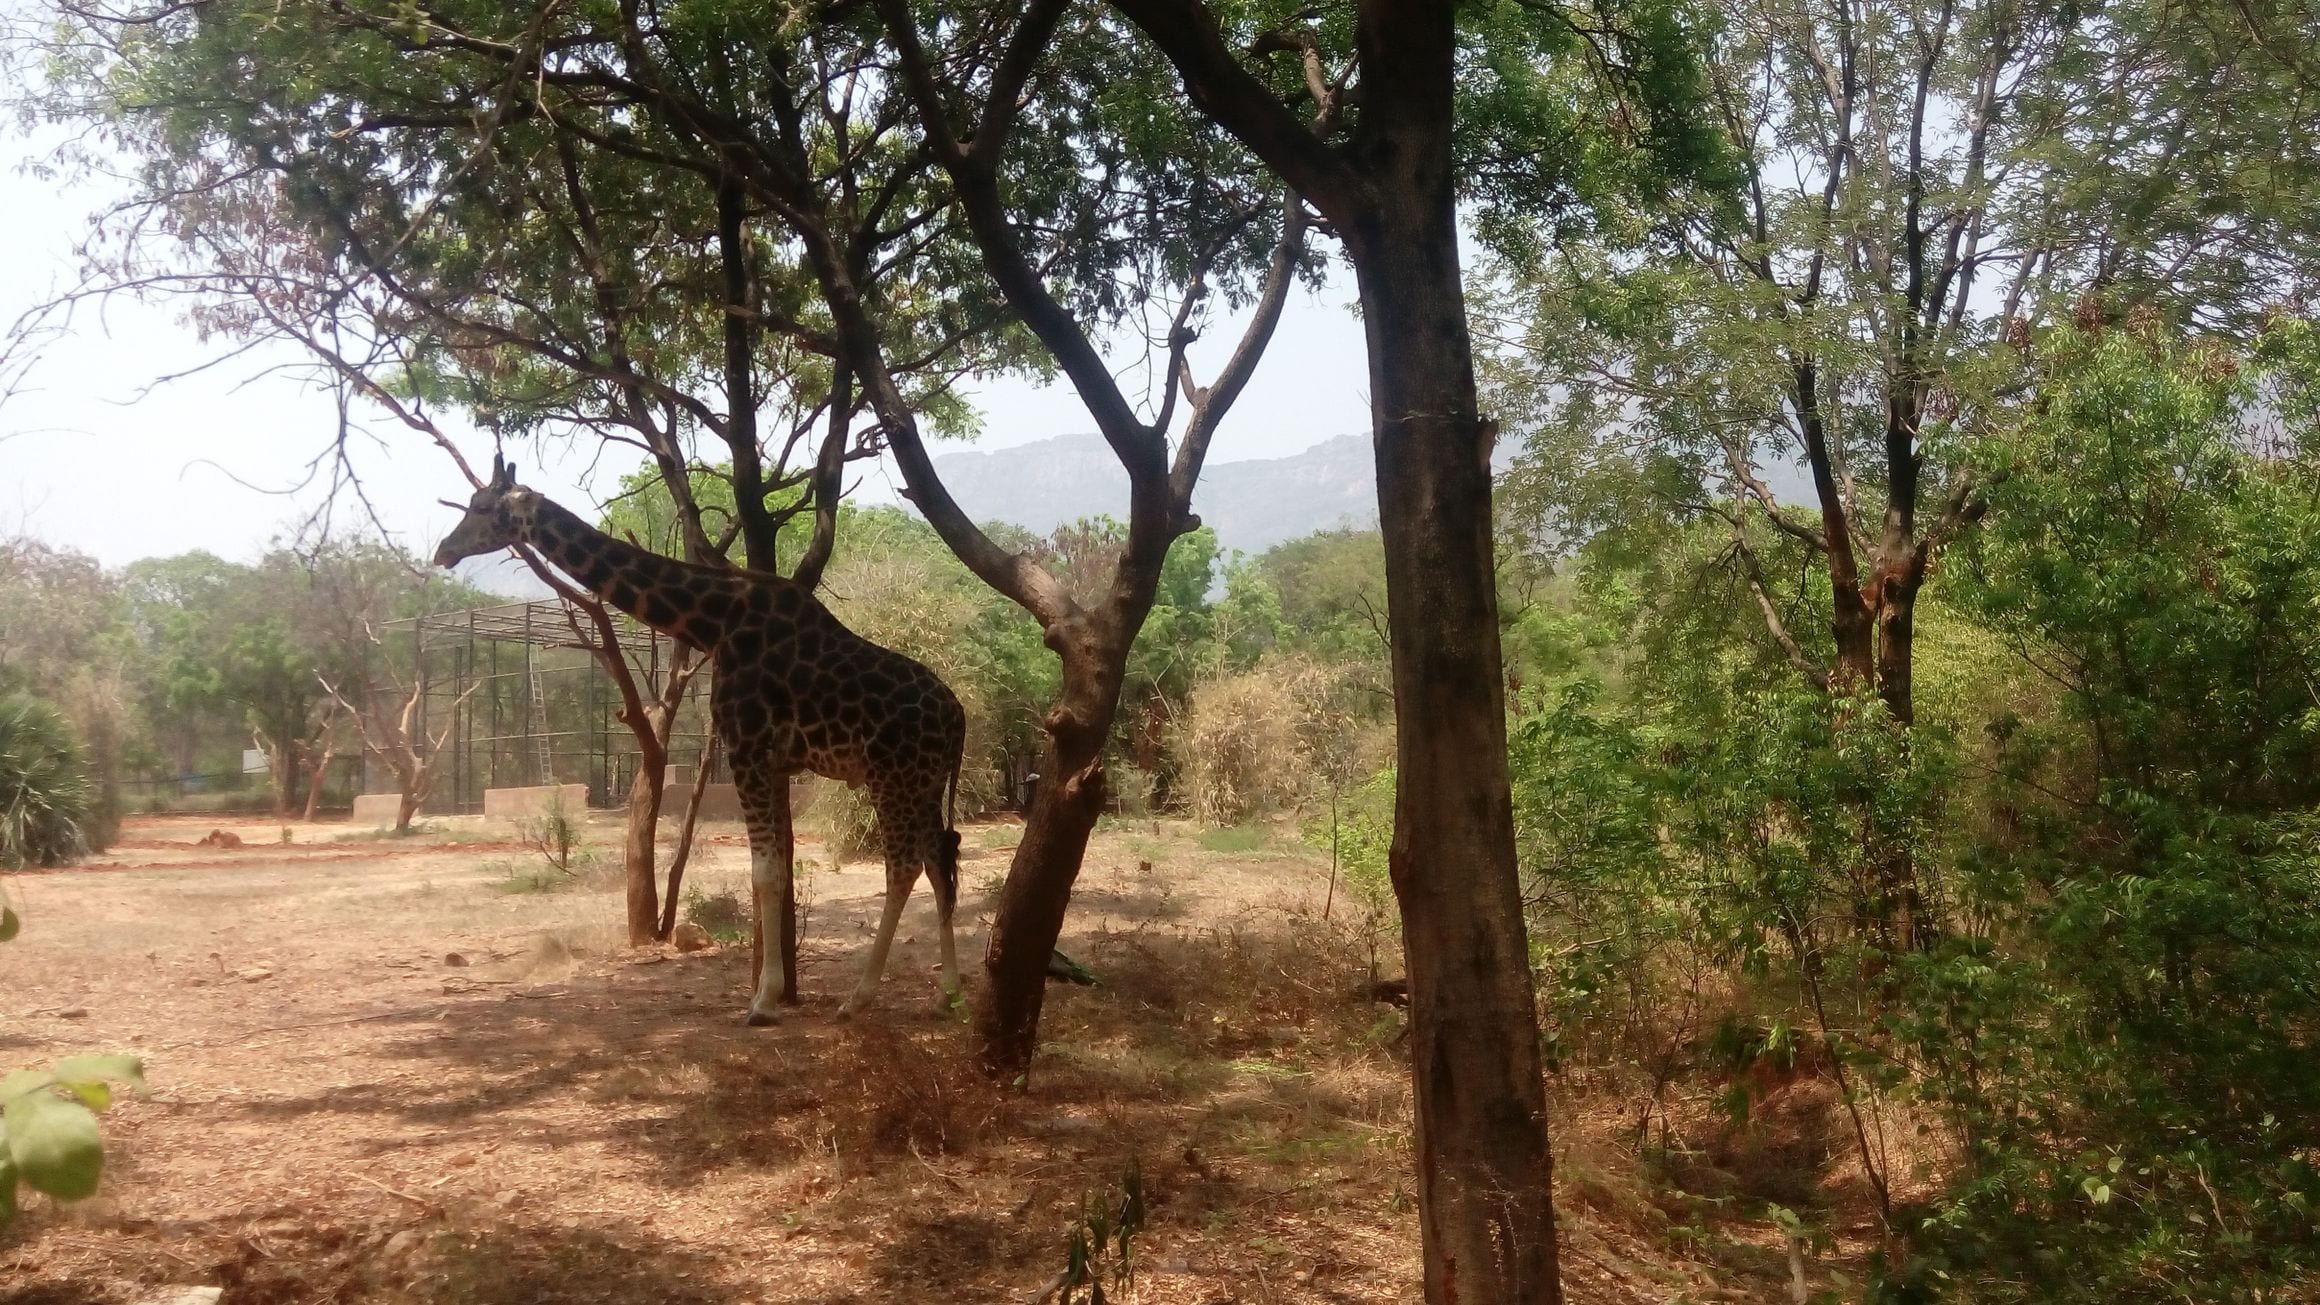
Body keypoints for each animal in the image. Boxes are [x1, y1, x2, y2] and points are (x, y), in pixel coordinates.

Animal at [432, 457, 967, 1023]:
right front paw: (768, 992)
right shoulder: (773, 761)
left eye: (481, 507)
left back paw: (858, 997)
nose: (445, 550)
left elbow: (764, 873)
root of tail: (958, 718)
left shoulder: (746, 748)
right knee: (939, 857)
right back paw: (947, 993)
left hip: (893, 777)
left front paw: (762, 1001)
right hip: (924, 781)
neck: (713, 624)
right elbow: (777, 871)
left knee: (904, 865)